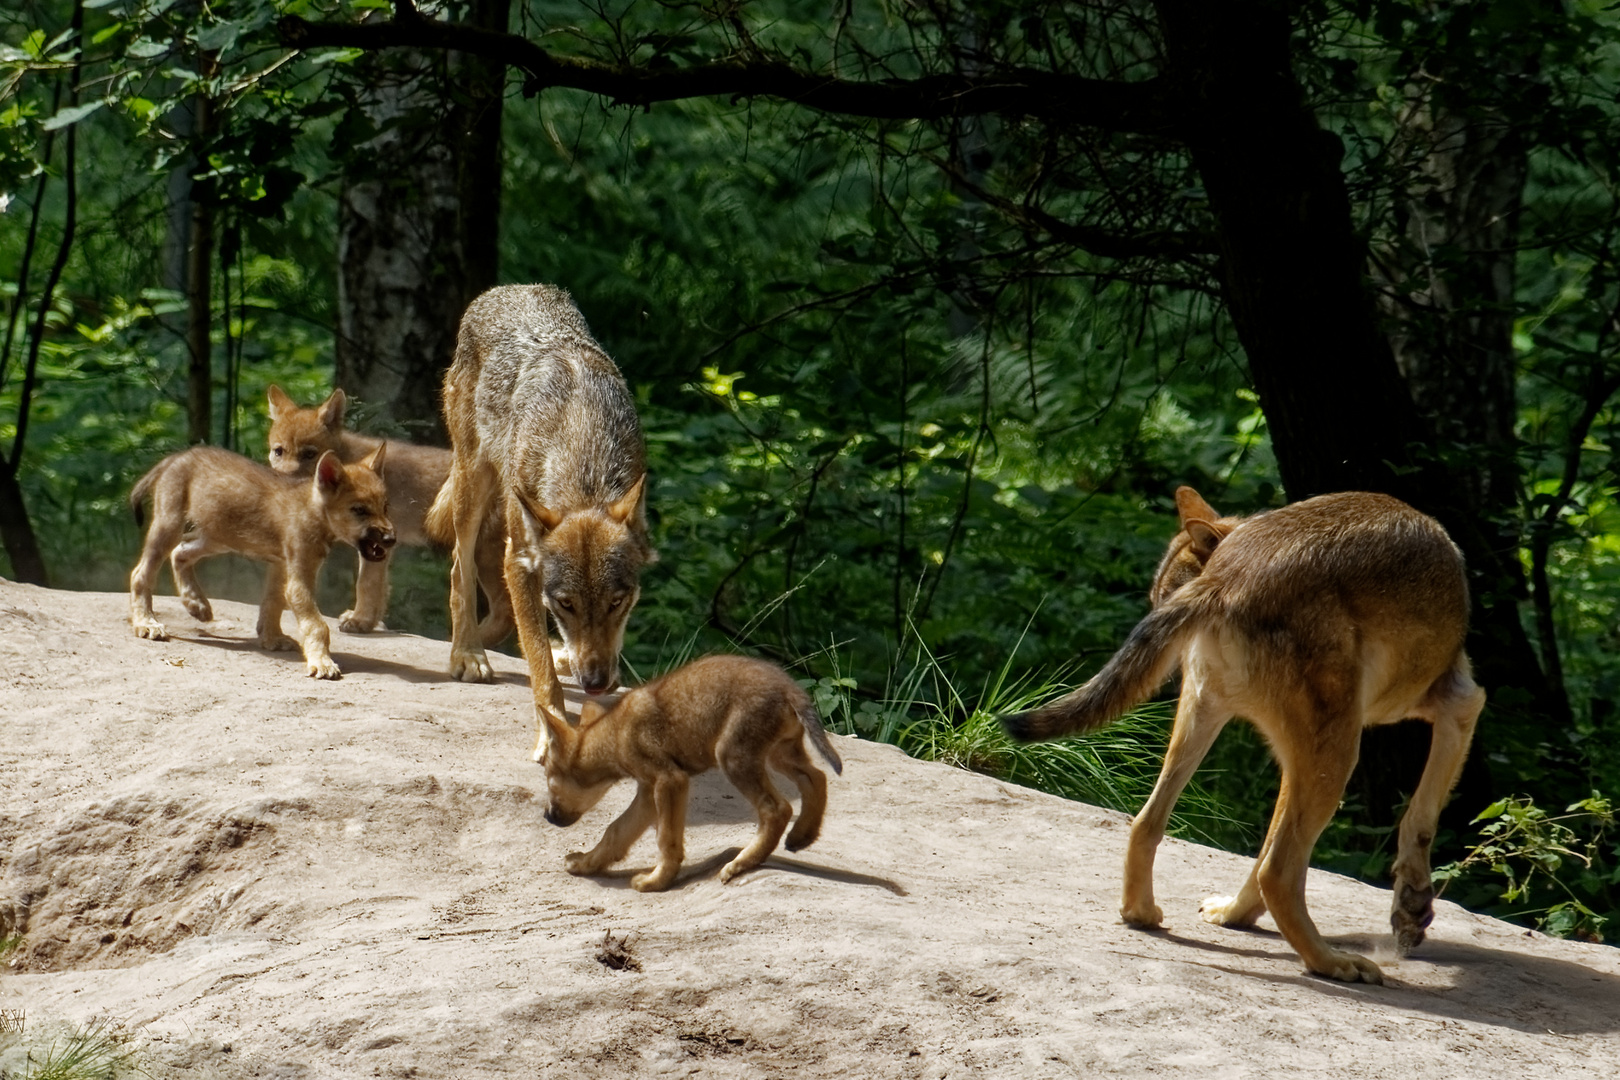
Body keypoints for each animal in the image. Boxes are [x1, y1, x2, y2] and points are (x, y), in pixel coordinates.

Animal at [124, 443, 393, 680]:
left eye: (385, 507)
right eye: (359, 510)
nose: (391, 538)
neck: (313, 510)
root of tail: (178, 456)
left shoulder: (281, 565)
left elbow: (272, 604)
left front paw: (271, 639)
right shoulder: (298, 575)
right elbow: (317, 624)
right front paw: (322, 662)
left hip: (219, 536)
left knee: (180, 553)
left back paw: (196, 603)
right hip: (170, 526)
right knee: (140, 573)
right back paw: (147, 623)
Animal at [264, 383, 511, 647]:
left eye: (309, 454)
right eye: (279, 451)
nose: (282, 477)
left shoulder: (377, 544)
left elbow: (366, 585)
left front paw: (360, 621)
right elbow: (379, 591)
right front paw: (368, 621)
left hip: (482, 555)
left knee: (504, 612)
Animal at [430, 284, 664, 761]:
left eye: (618, 602)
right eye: (565, 604)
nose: (596, 683)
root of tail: (506, 289)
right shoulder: (520, 561)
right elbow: (539, 664)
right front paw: (553, 732)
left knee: (504, 612)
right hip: (473, 482)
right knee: (460, 566)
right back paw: (467, 653)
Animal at [544, 654, 848, 893]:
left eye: (549, 780)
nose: (547, 816)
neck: (615, 734)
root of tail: (790, 688)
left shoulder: (670, 781)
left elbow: (666, 841)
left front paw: (657, 882)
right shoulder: (648, 790)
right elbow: (616, 831)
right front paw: (586, 863)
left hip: (733, 758)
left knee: (778, 809)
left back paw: (740, 864)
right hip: (779, 754)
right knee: (817, 777)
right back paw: (802, 836)